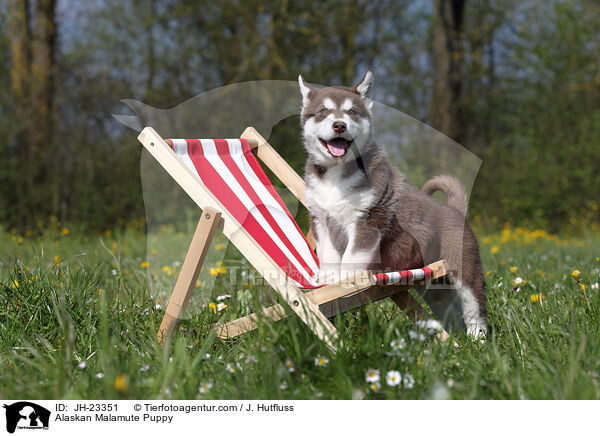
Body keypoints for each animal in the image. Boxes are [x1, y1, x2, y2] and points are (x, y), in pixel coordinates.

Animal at [298, 71, 488, 338]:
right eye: (323, 111)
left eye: (352, 112)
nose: (339, 125)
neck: (337, 173)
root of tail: (455, 211)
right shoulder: (321, 219)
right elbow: (327, 254)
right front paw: (329, 276)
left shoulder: (368, 220)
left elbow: (352, 257)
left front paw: (347, 280)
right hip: (430, 282)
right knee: (448, 307)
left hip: (463, 266)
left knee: (474, 304)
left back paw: (477, 339)